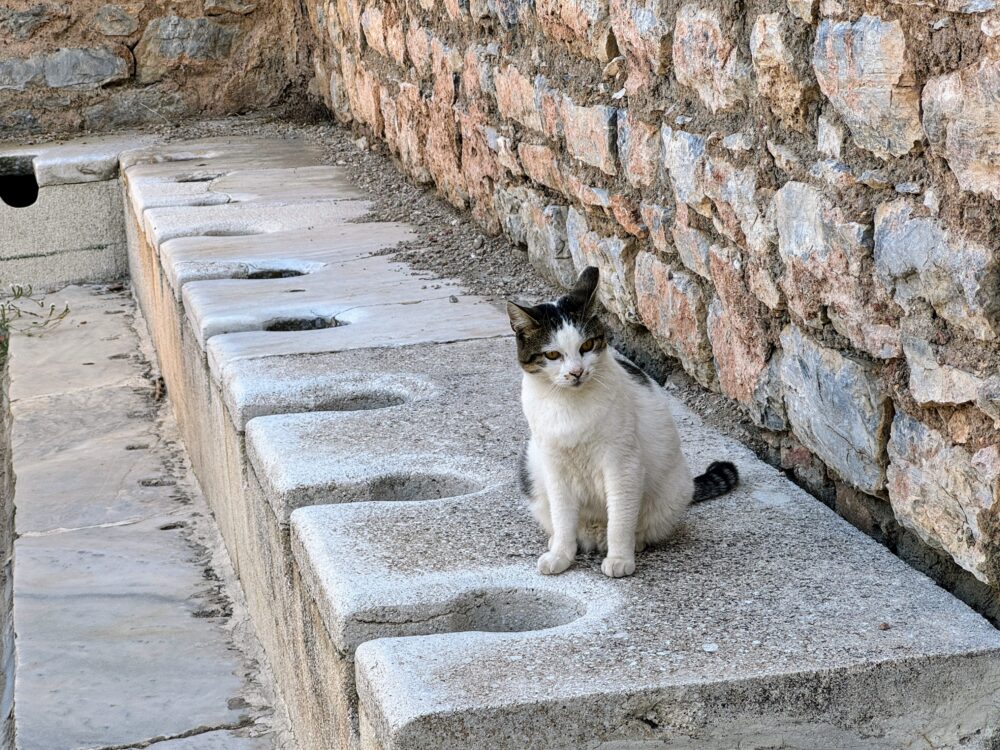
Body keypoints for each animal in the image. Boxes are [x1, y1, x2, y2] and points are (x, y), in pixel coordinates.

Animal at [508, 268, 736, 580]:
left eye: (587, 346)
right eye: (552, 354)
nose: (576, 372)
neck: (568, 405)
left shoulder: (622, 464)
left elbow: (620, 518)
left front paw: (619, 558)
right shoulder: (554, 465)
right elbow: (563, 516)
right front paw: (561, 555)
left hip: (672, 490)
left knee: (639, 525)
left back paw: (632, 543)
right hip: (531, 468)